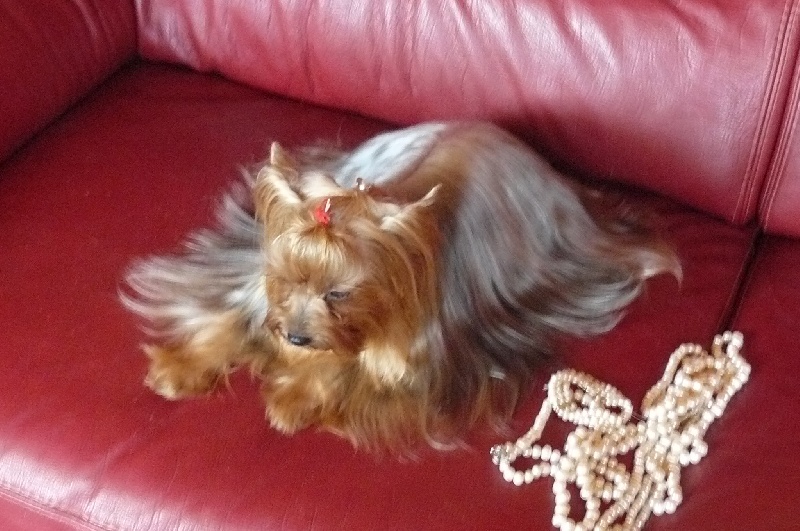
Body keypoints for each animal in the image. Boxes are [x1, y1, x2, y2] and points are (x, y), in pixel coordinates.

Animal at [122, 121, 679, 451]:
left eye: (339, 294)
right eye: (287, 279)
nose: (296, 338)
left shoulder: (415, 351)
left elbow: (348, 366)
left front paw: (292, 399)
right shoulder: (256, 292)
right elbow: (228, 319)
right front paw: (179, 369)